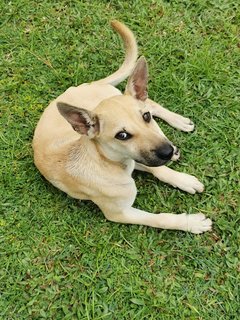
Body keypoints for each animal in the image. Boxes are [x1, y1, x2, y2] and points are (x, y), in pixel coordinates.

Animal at [33, 21, 212, 234]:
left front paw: (183, 180)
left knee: (150, 102)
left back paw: (179, 122)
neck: (107, 161)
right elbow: (160, 218)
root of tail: (86, 84)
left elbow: (158, 168)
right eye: (122, 135)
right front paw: (191, 222)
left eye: (145, 117)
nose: (167, 151)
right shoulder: (120, 212)